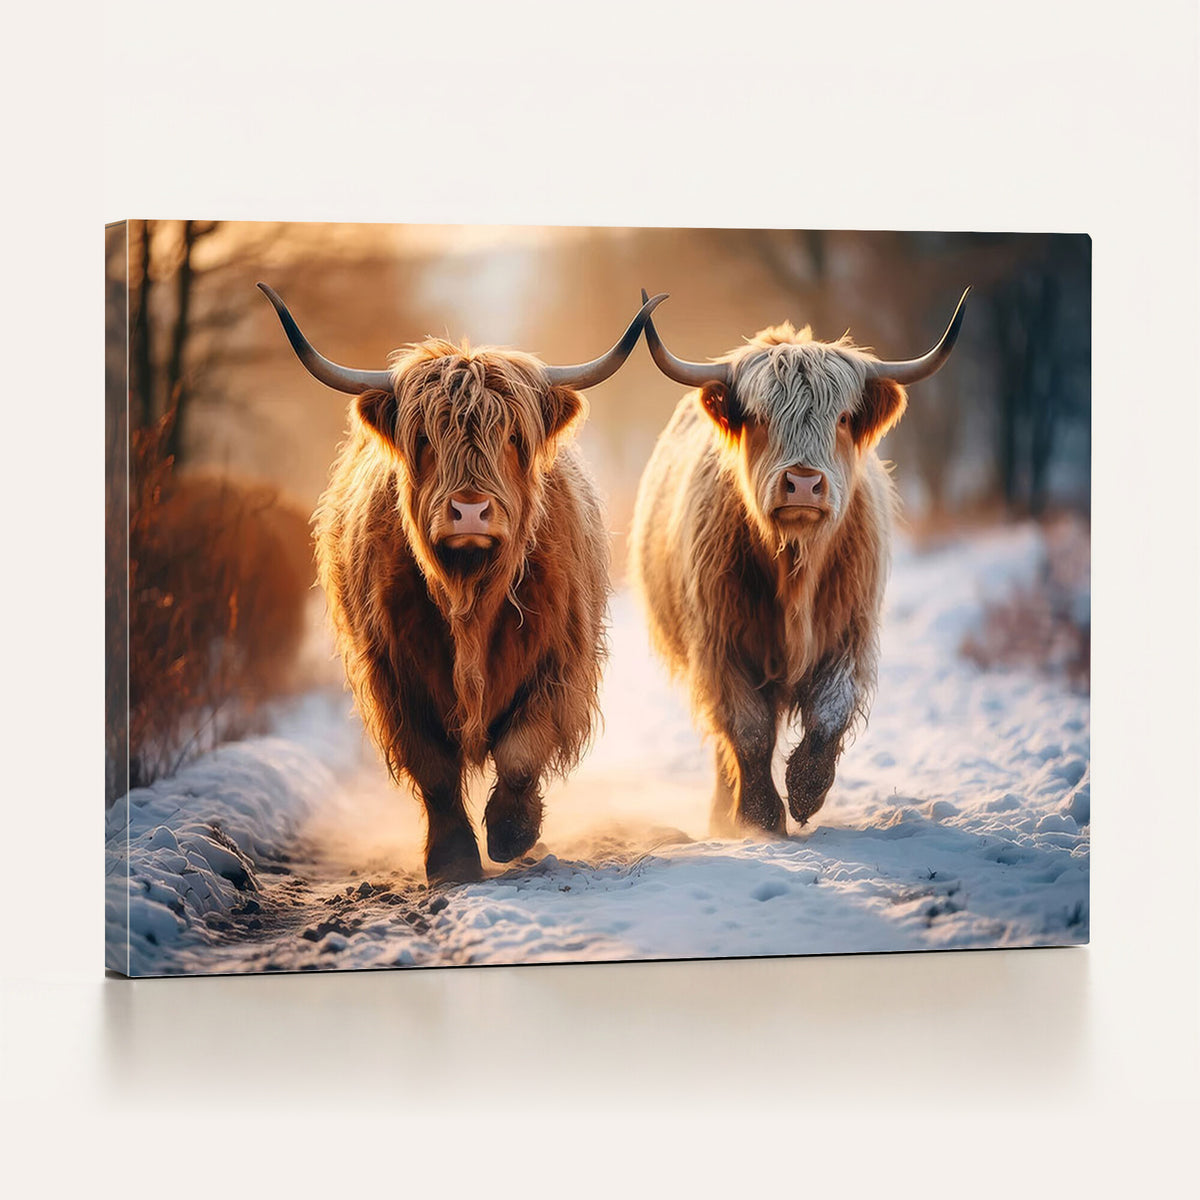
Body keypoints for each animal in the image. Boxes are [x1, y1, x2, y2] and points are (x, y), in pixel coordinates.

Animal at [259, 284, 666, 883]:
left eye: (513, 435)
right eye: (426, 437)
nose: (470, 511)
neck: (470, 594)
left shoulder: (557, 661)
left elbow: (520, 750)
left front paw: (511, 832)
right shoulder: (394, 675)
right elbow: (433, 768)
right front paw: (451, 859)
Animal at [630, 289, 968, 836]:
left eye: (844, 418)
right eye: (760, 417)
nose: (804, 483)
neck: (796, 564)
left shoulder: (850, 630)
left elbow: (830, 712)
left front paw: (807, 791)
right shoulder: (721, 643)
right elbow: (748, 731)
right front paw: (760, 816)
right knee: (726, 742)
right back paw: (723, 816)